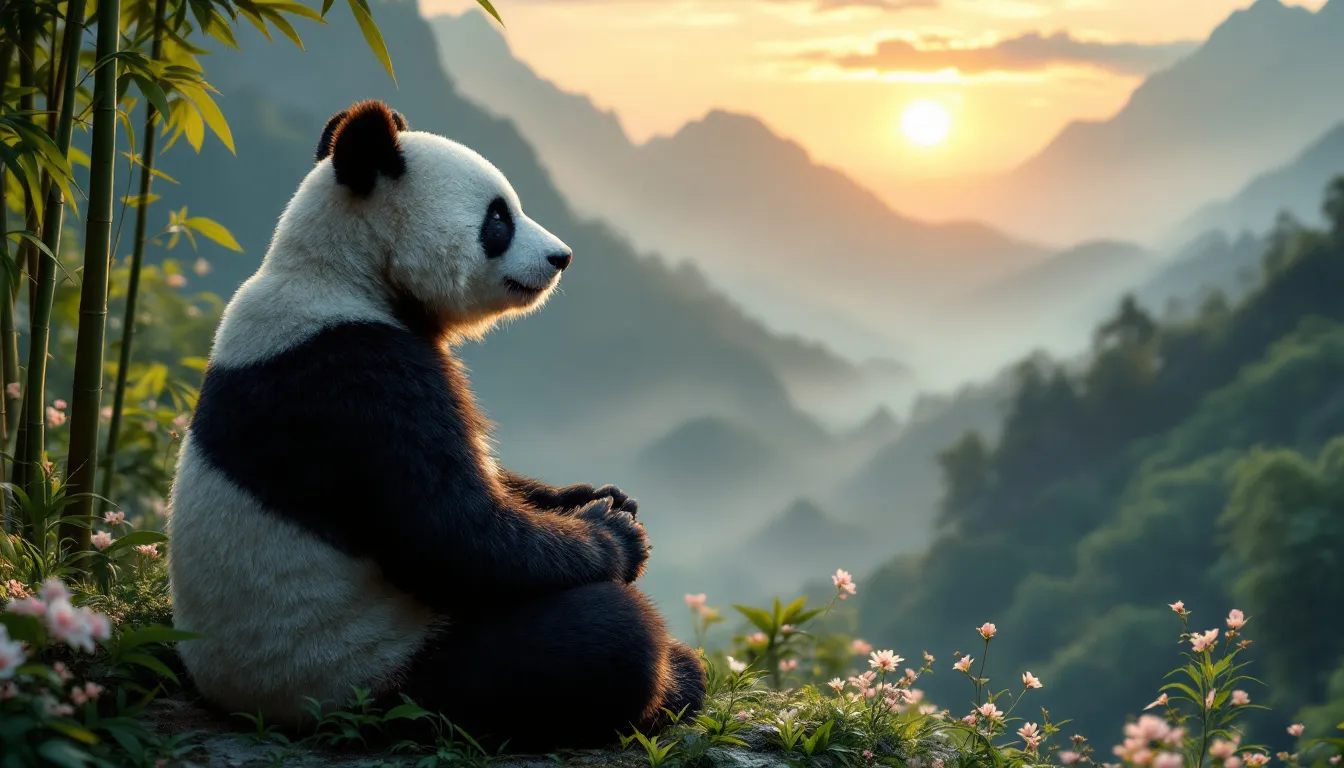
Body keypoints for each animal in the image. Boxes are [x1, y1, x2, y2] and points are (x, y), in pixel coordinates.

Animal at [166, 100, 706, 751]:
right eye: (498, 219)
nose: (562, 257)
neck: (339, 272)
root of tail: (240, 704)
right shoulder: (355, 381)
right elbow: (452, 532)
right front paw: (615, 533)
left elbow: (489, 483)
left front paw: (596, 496)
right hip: (372, 668)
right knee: (588, 642)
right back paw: (672, 677)